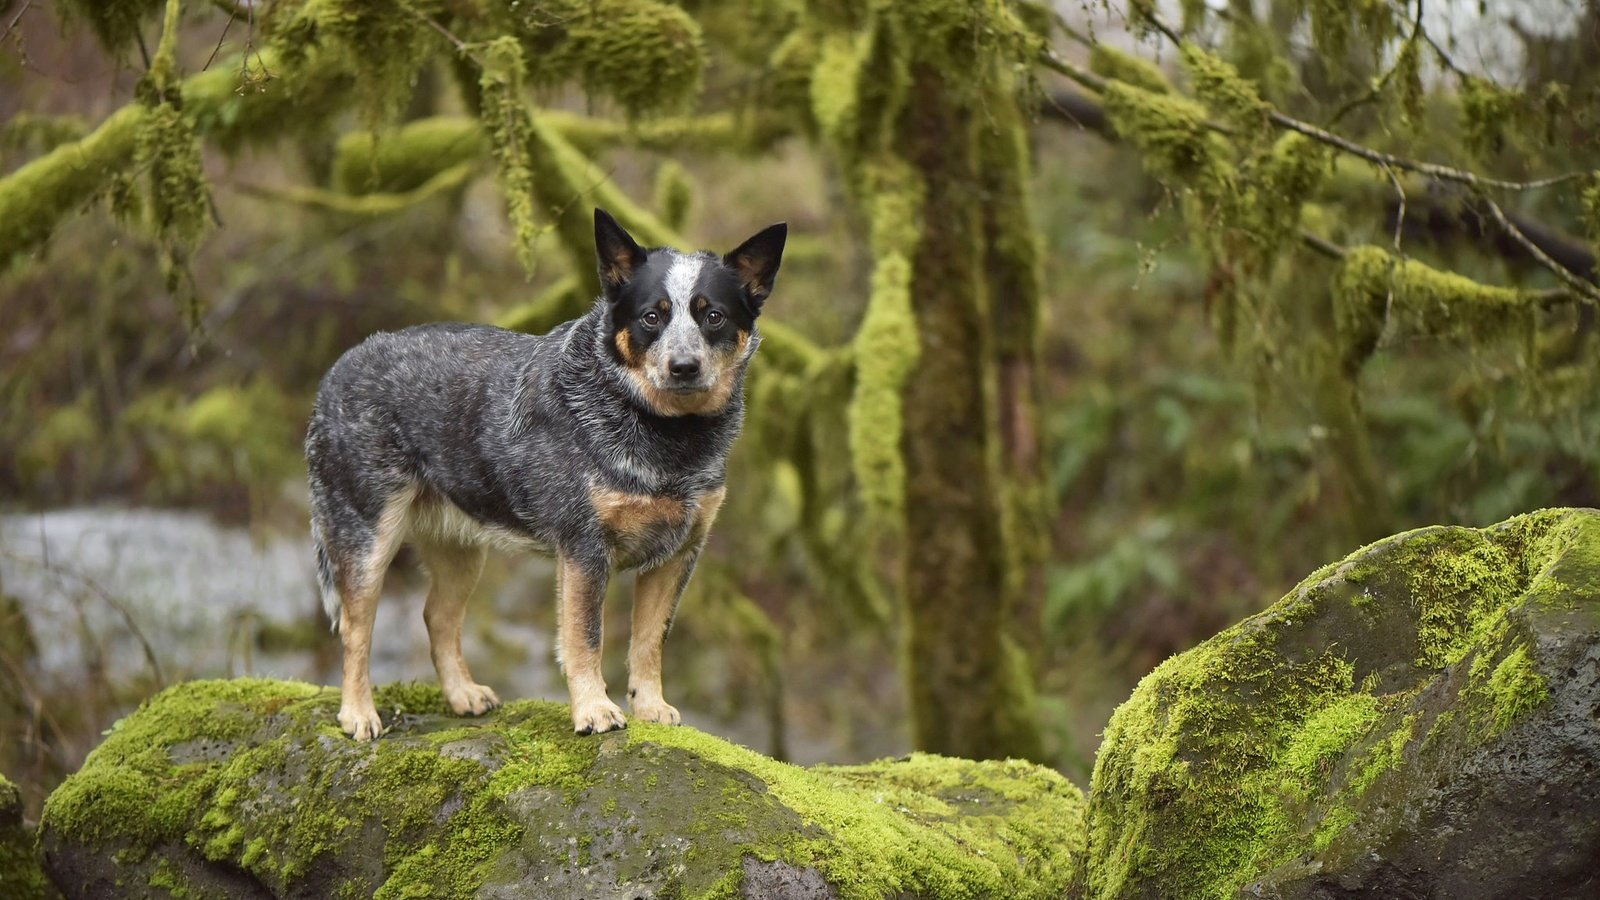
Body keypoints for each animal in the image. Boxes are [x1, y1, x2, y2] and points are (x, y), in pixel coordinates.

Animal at [302, 209, 784, 736]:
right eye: (651, 316)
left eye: (713, 315)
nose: (683, 366)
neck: (669, 440)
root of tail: (338, 370)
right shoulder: (584, 550)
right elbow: (585, 638)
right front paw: (595, 710)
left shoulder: (678, 554)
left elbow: (649, 640)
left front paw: (652, 706)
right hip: (367, 537)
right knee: (355, 628)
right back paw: (358, 714)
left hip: (461, 549)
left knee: (437, 617)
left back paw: (463, 695)